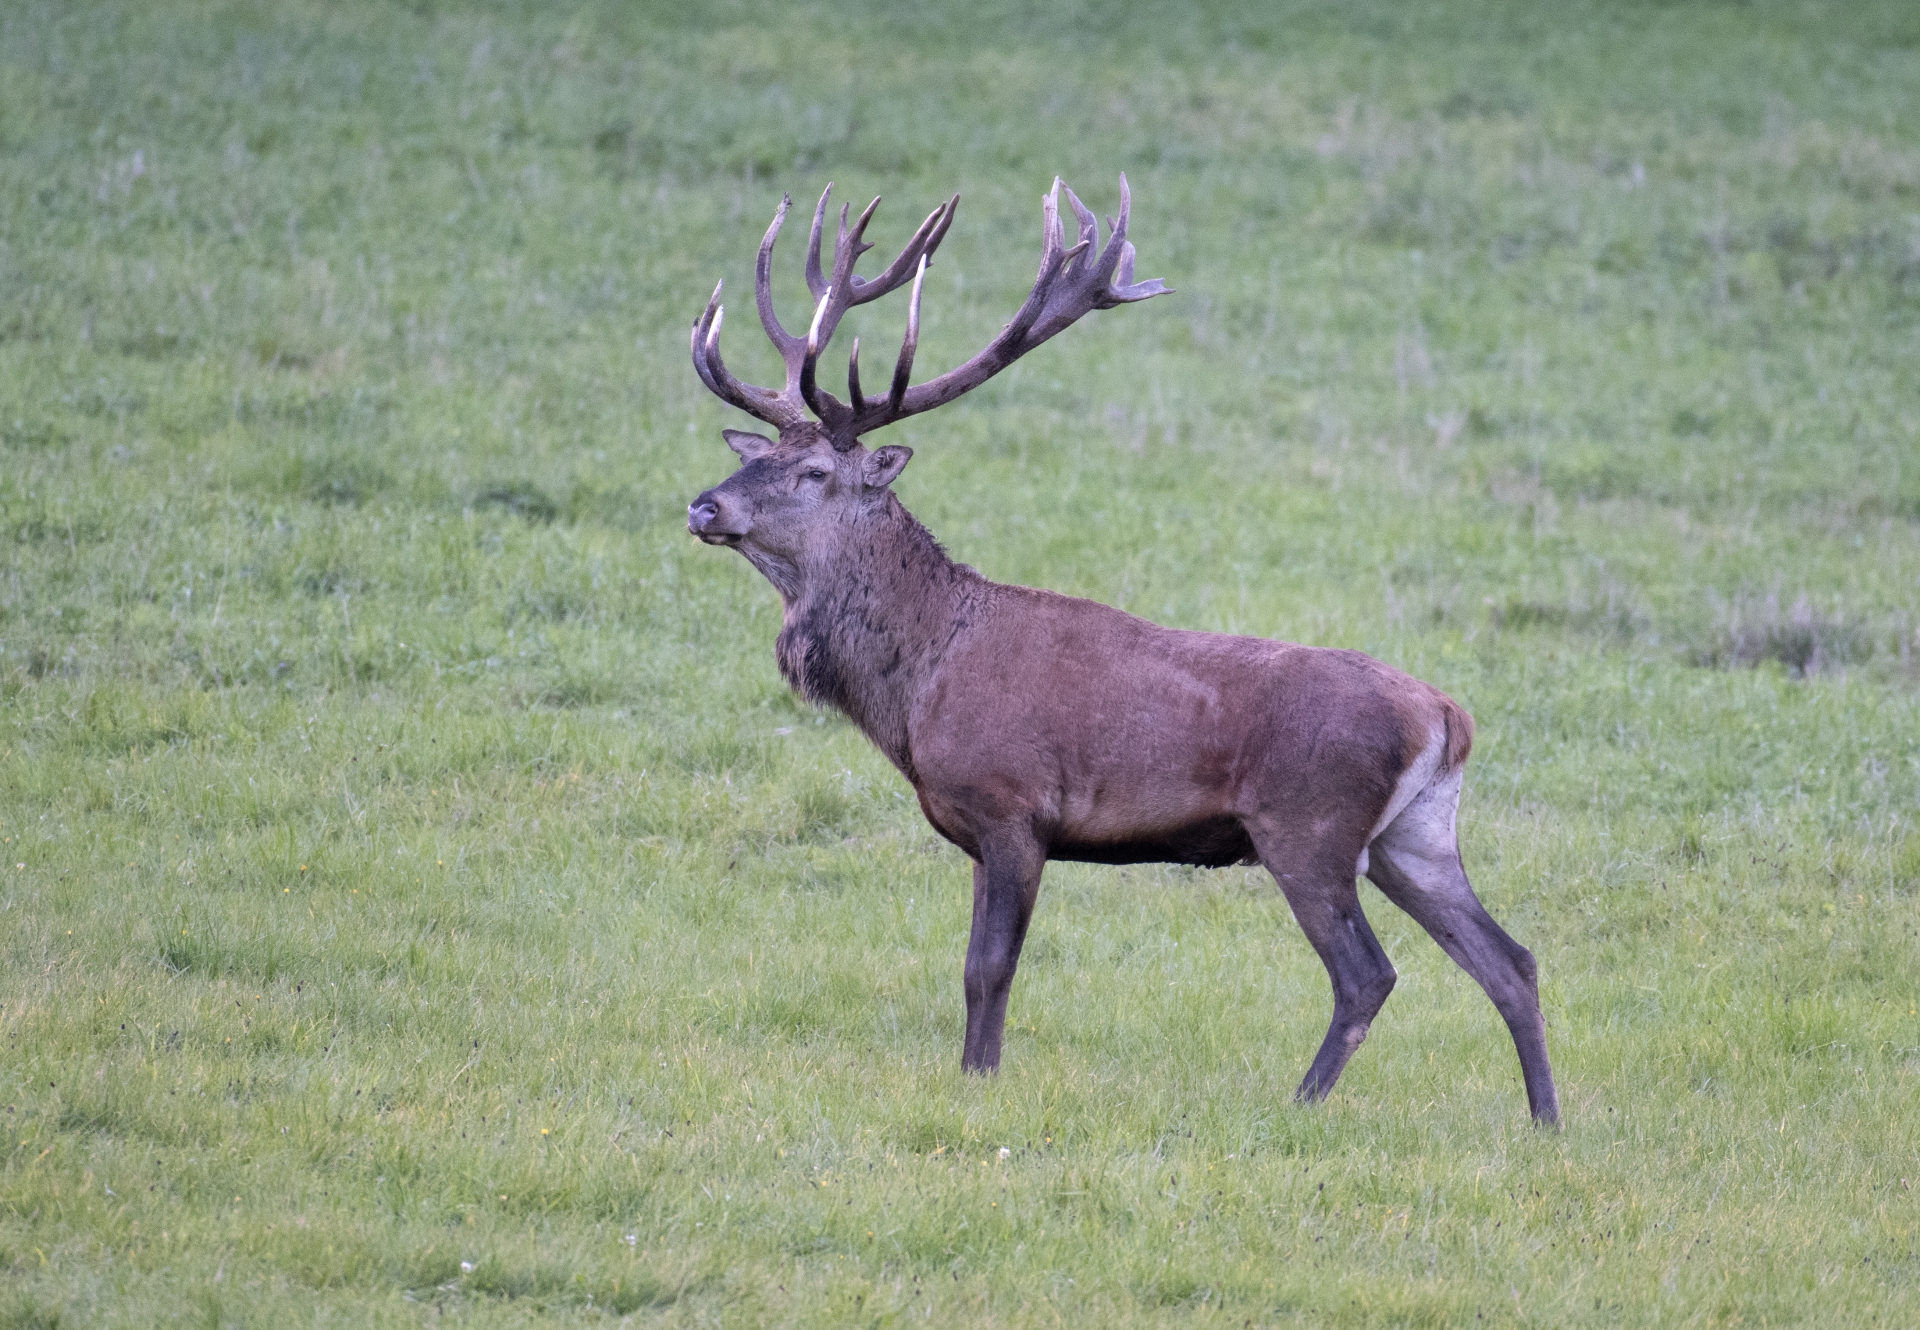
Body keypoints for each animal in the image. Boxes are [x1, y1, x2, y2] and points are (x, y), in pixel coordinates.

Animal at [687, 173, 1559, 1120]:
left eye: (814, 473)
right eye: (758, 455)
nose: (704, 505)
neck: (916, 690)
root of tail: (1449, 718)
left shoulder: (1013, 806)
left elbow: (989, 969)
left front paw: (980, 1081)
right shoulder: (979, 831)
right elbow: (972, 968)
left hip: (1311, 826)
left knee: (1368, 974)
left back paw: (1301, 1103)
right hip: (1417, 834)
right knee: (1509, 960)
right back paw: (1546, 1121)